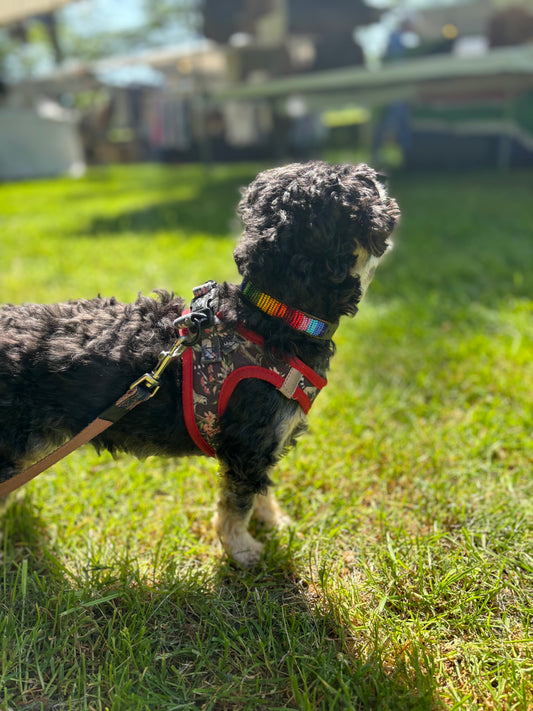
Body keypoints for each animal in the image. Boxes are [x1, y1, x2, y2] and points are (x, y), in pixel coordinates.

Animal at [0, 163, 396, 568]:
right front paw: (242, 549)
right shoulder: (247, 444)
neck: (275, 315)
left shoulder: (265, 446)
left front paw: (274, 521)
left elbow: (261, 491)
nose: (374, 173)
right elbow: (236, 505)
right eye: (362, 190)